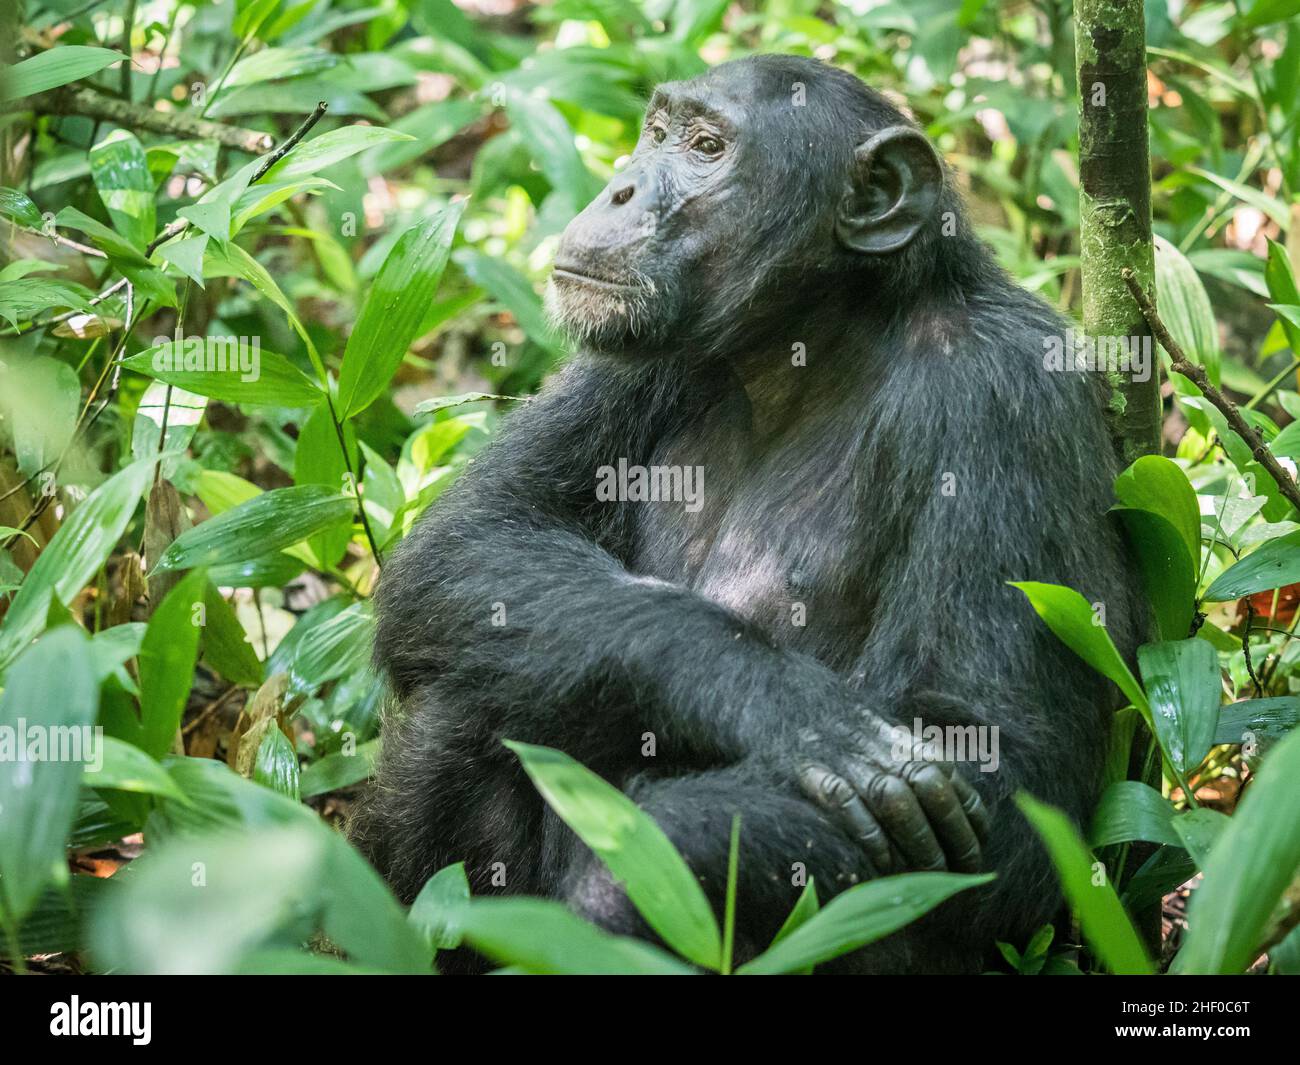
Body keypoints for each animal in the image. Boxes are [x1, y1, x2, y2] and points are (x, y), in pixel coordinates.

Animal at [351, 56, 1144, 972]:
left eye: (706, 148)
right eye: (658, 132)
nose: (621, 186)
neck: (805, 351)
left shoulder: (1004, 399)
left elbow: (994, 770)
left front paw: (625, 884)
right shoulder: (626, 358)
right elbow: (473, 535)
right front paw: (789, 709)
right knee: (476, 683)